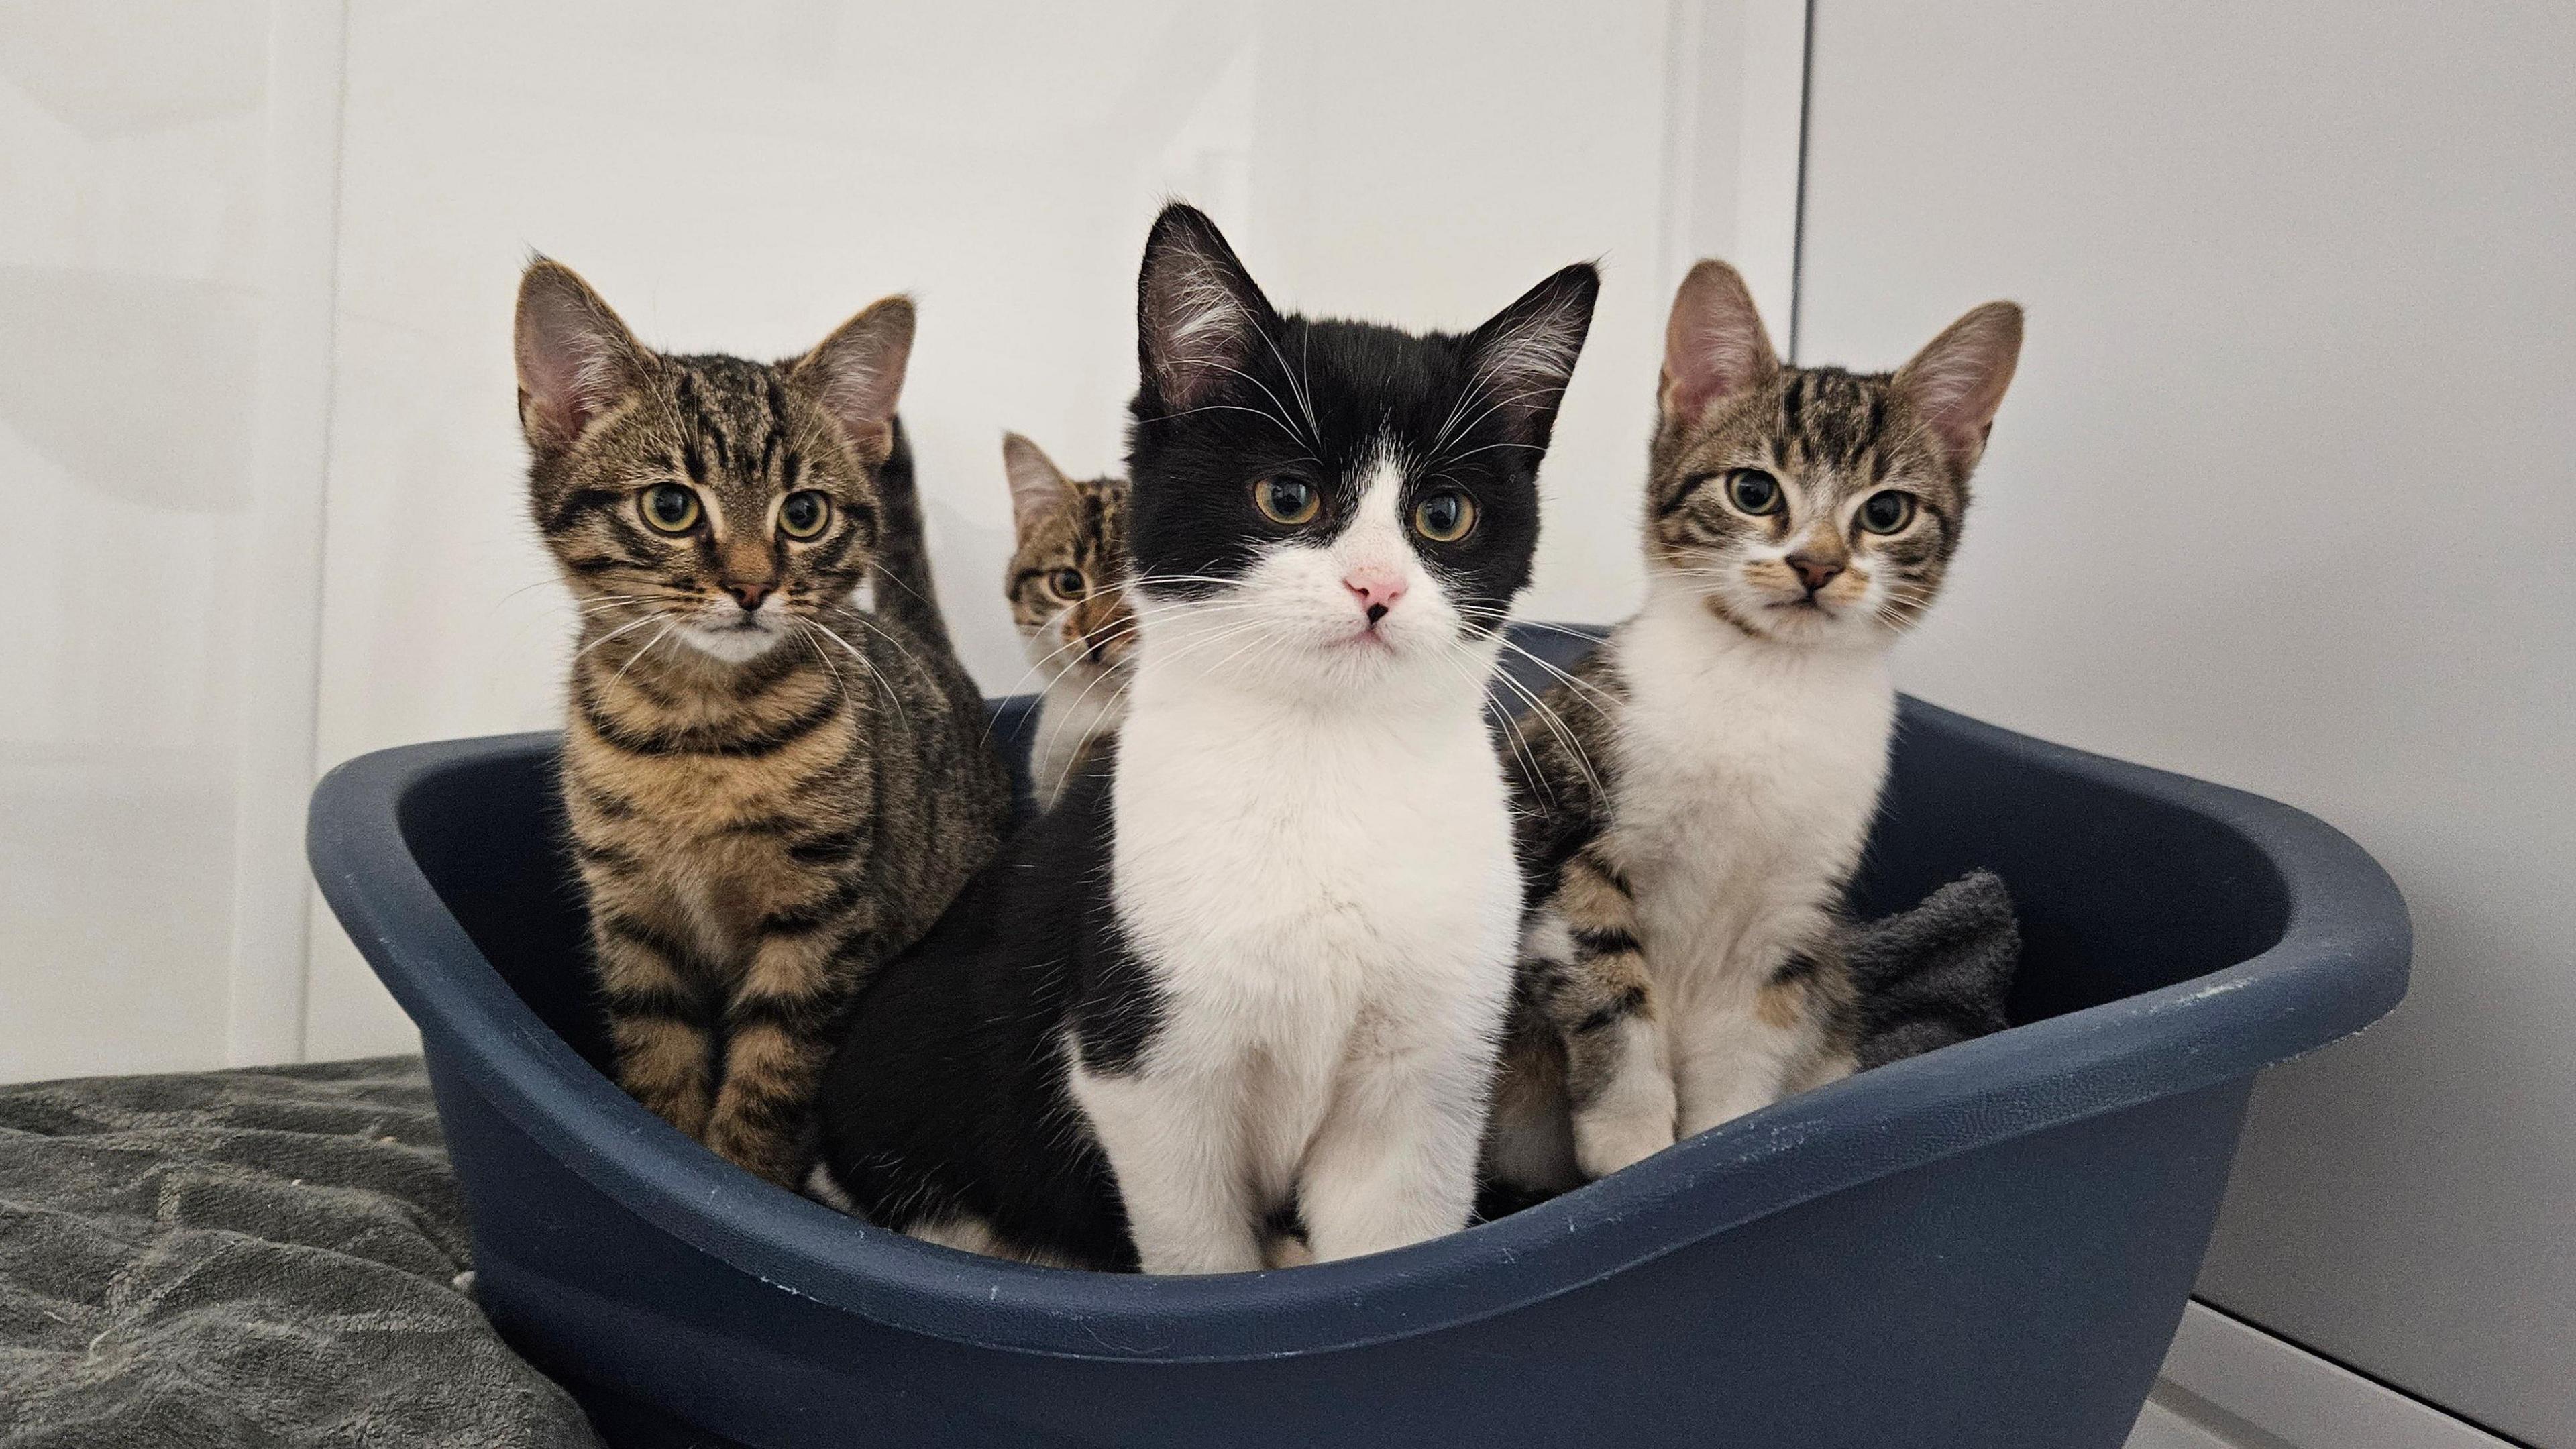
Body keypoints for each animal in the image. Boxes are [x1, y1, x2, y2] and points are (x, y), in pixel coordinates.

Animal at [515, 259, 1014, 1185]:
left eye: (804, 514)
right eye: (671, 506)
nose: (751, 586)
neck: (700, 727)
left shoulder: (820, 924)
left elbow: (769, 1079)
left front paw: (738, 1179)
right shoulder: (634, 921)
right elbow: (659, 1060)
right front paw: (668, 1156)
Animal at [1494, 256, 2009, 1185]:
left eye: (1886, 513)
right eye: (1753, 491)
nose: (1817, 565)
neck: (1768, 682)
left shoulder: (1790, 917)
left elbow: (1744, 1062)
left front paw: (1720, 1158)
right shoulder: (1567, 840)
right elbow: (1612, 994)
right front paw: (1632, 1150)